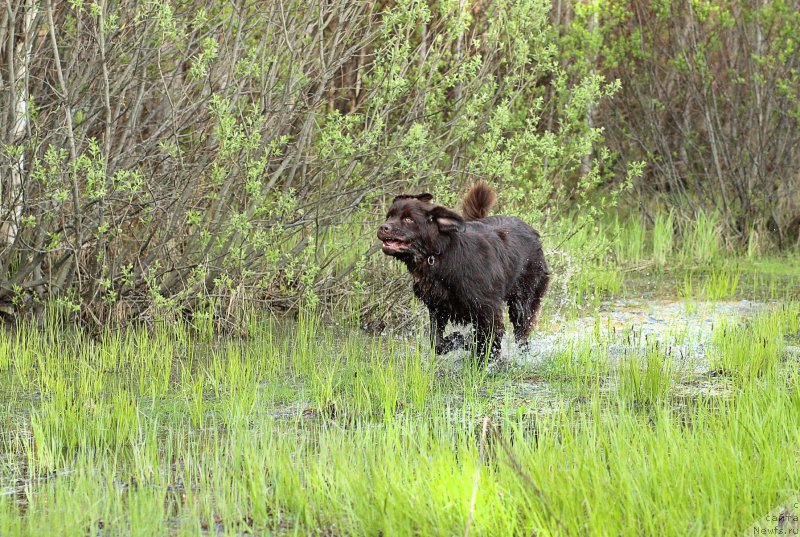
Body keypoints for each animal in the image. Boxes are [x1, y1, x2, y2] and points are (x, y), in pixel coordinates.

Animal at [378, 182, 548, 362]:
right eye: (389, 216)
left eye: (408, 219)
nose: (383, 227)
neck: (440, 254)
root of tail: (533, 233)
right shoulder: (439, 308)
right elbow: (438, 343)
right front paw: (462, 342)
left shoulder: (487, 308)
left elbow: (489, 339)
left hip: (523, 300)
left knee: (522, 333)